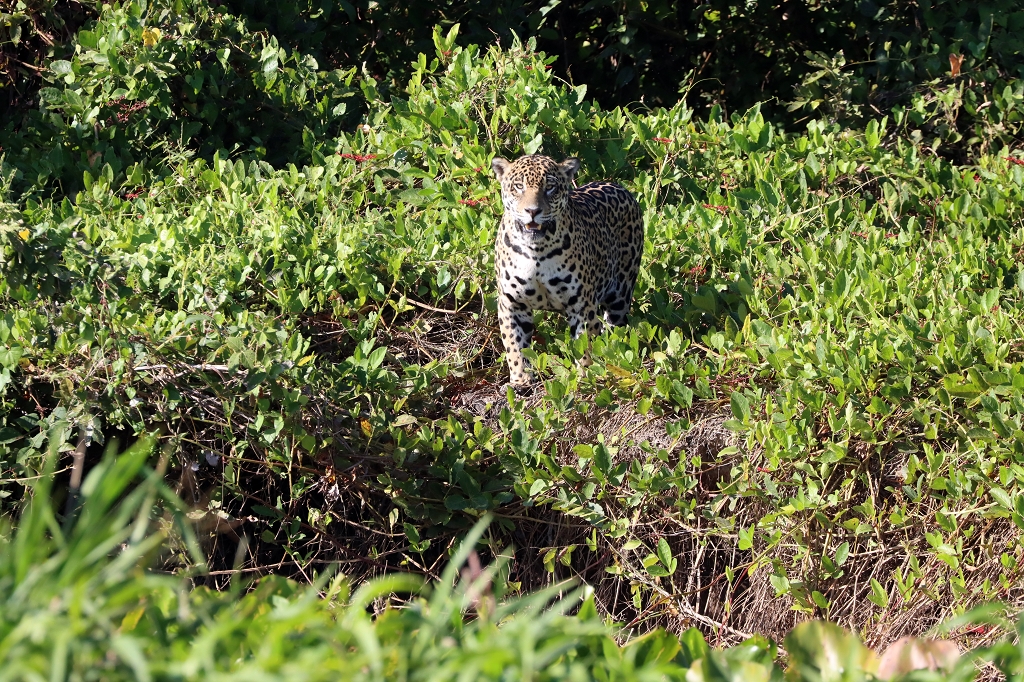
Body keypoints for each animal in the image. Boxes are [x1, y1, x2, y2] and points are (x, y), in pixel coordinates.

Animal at [491, 154, 644, 386]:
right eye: (518, 186)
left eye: (550, 187)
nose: (532, 211)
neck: (536, 250)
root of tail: (618, 186)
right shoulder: (512, 303)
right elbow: (514, 344)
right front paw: (520, 379)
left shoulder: (581, 305)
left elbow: (585, 343)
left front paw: (584, 375)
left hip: (621, 293)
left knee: (614, 326)